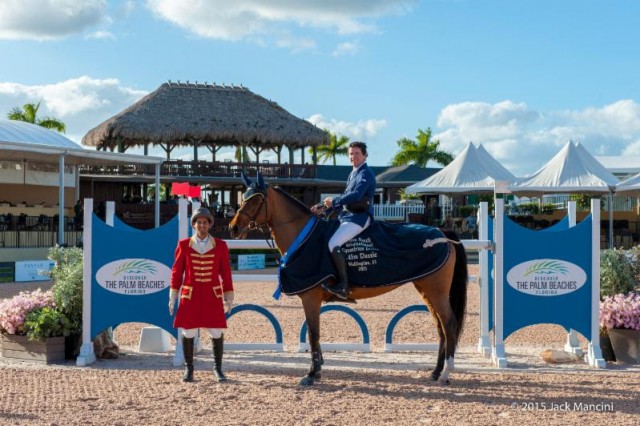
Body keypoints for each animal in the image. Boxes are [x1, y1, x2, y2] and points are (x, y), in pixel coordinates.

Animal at [228, 173, 468, 386]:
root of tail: (442, 234)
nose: (233, 227)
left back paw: (446, 373)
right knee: (440, 327)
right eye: (243, 198)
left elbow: (313, 334)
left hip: (436, 292)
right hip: (426, 289)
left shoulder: (310, 297)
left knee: (448, 324)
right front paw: (317, 370)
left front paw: (311, 374)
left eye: (255, 199)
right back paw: (436, 372)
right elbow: (315, 335)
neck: (303, 237)